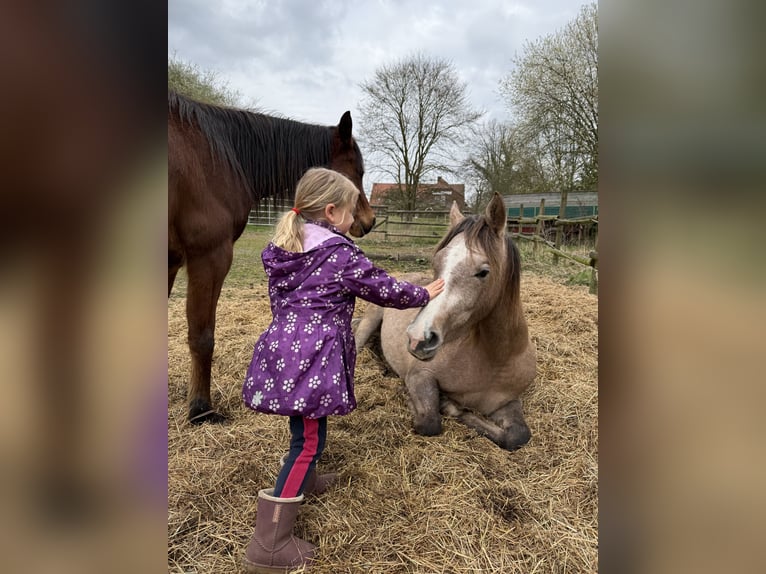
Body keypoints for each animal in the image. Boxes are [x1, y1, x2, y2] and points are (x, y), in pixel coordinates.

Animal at [169, 91, 375, 424]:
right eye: (357, 171)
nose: (369, 221)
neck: (217, 159)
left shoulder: (171, 261)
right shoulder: (210, 257)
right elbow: (202, 336)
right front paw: (200, 409)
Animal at [354, 193, 537, 450]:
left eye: (483, 272)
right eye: (437, 262)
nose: (418, 338)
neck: (495, 359)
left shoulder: (508, 401)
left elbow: (518, 435)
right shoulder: (419, 376)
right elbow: (429, 421)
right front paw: (443, 404)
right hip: (371, 319)